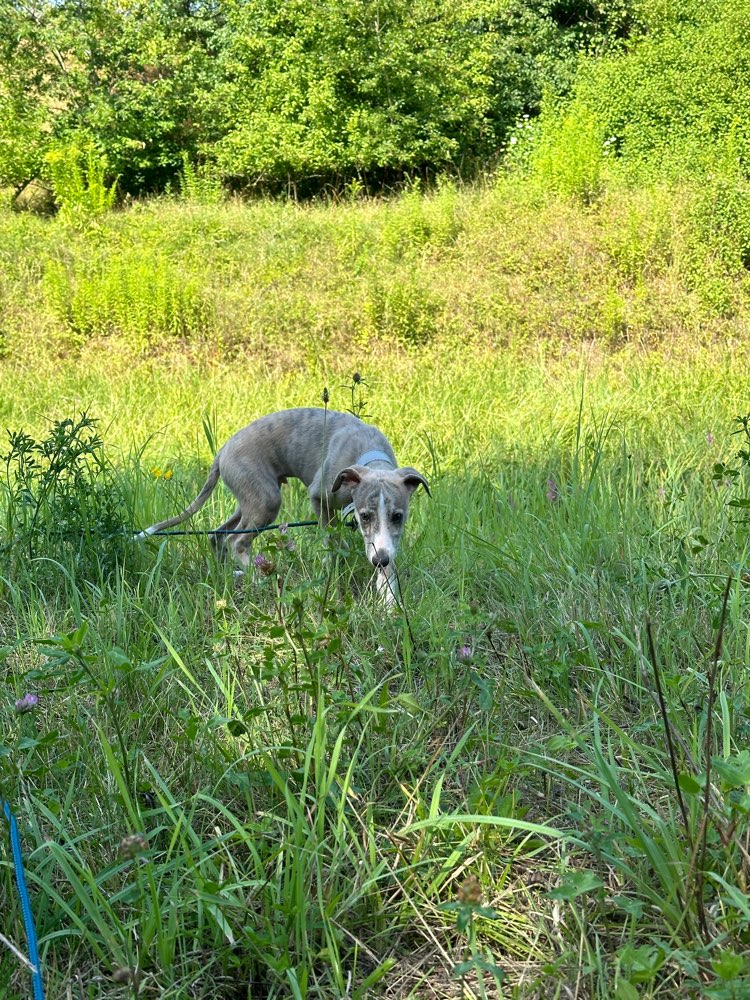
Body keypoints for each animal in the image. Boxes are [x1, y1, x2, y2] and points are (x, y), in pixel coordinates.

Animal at [134, 406, 428, 600]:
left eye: (398, 516)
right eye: (364, 516)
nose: (380, 560)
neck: (368, 455)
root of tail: (222, 451)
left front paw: (388, 601)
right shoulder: (319, 497)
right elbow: (333, 539)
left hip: (250, 498)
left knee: (218, 534)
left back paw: (225, 574)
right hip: (266, 501)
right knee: (236, 541)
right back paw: (257, 579)